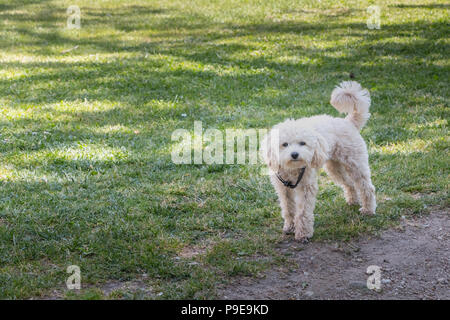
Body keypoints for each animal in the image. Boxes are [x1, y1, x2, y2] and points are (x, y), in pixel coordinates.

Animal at [260, 81, 376, 241]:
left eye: (302, 143)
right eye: (284, 144)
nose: (294, 154)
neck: (292, 169)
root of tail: (348, 122)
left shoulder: (306, 186)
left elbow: (303, 212)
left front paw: (303, 233)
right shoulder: (283, 188)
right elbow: (288, 209)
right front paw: (289, 227)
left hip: (355, 164)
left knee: (366, 187)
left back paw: (368, 209)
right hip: (335, 168)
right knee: (349, 184)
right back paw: (353, 201)